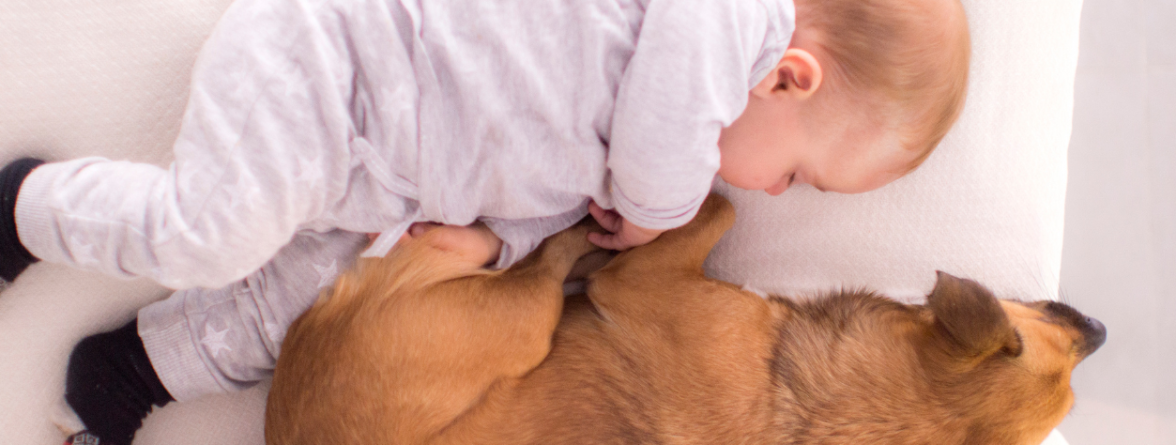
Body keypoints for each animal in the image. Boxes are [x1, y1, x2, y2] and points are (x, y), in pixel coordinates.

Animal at [264, 195, 1100, 445]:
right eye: (1068, 347)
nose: (1099, 326)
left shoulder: (639, 281)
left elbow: (720, 203)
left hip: (515, 316)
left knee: (535, 264)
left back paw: (565, 230)